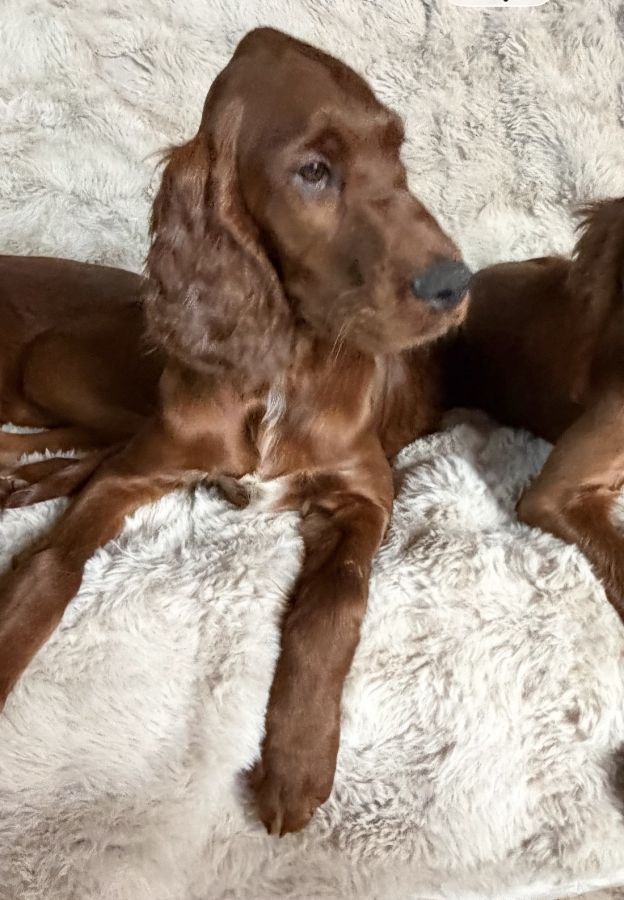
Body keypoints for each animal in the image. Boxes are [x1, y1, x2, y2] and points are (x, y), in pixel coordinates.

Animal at [0, 28, 471, 835]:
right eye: (314, 171)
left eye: (397, 153)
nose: (455, 285)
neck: (281, 364)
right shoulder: (140, 469)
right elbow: (50, 562)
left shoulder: (365, 490)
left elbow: (333, 602)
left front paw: (297, 762)